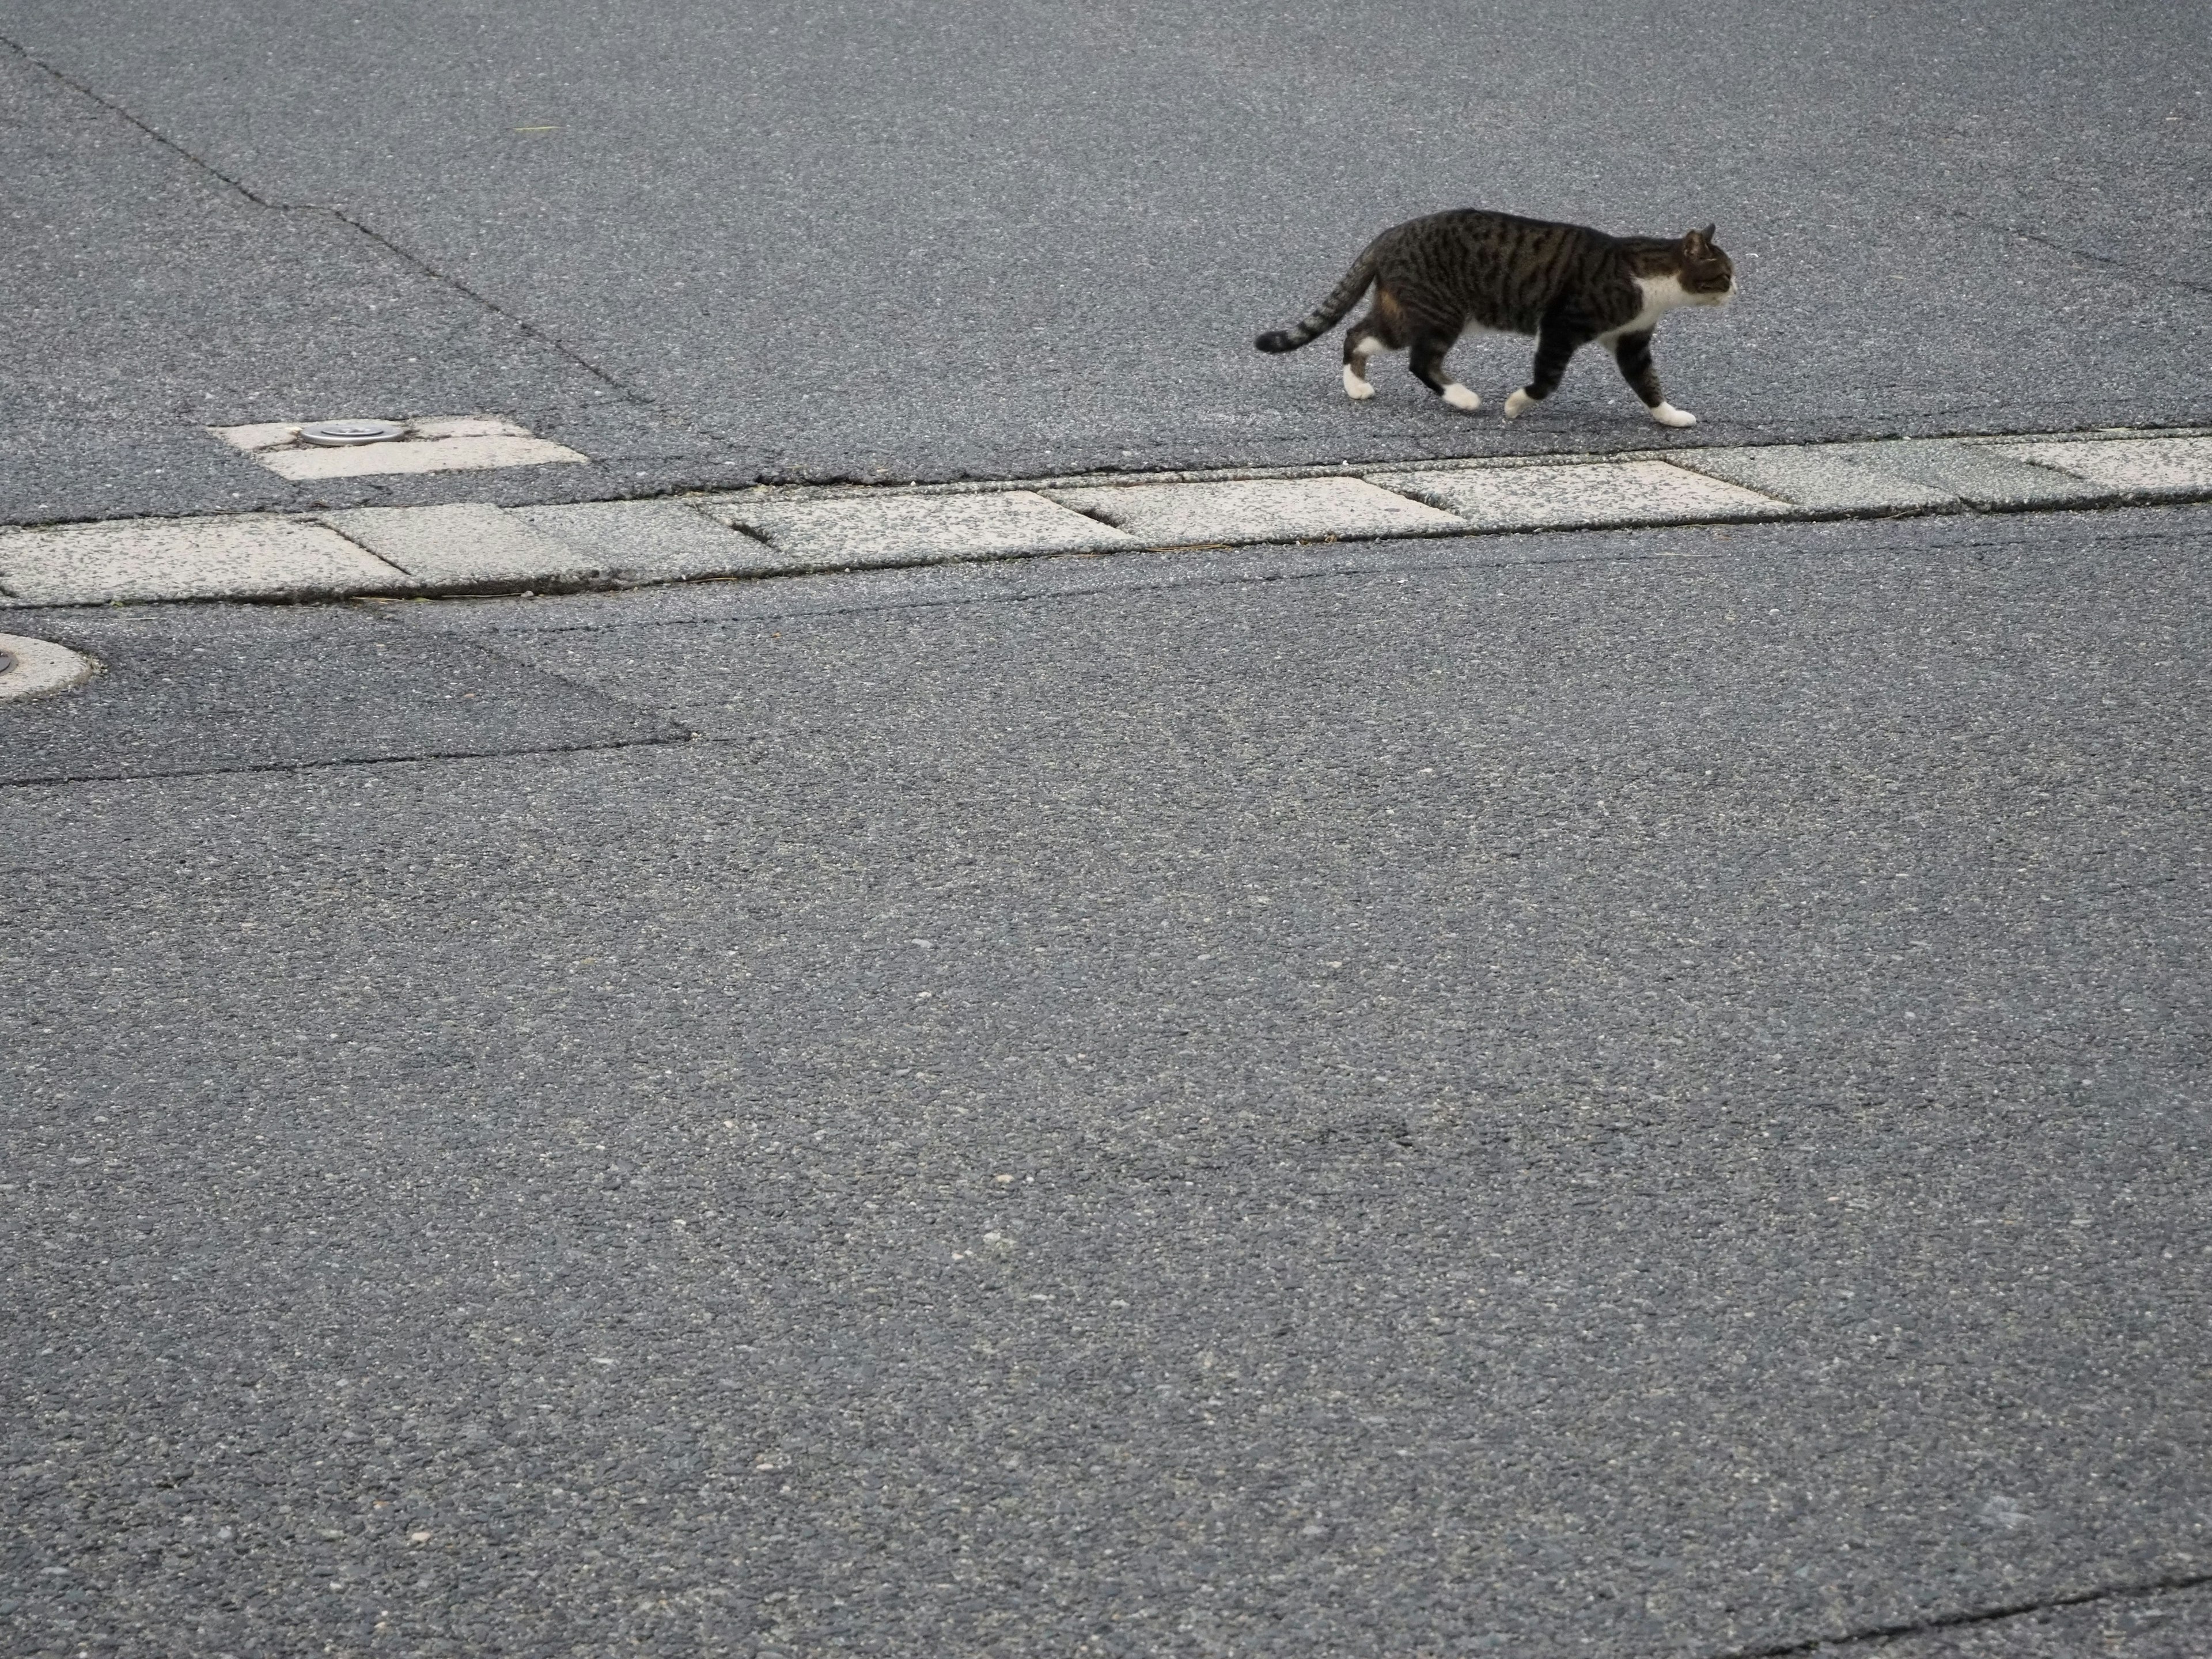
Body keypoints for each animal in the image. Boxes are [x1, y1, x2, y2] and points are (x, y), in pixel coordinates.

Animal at [1256, 211, 1734, 429]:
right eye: (1725, 274)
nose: (1738, 290)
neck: (1651, 281)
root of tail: (1390, 233)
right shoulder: (1561, 326)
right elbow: (1546, 380)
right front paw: (1516, 404)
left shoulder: (1632, 340)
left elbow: (1647, 381)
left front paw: (1669, 416)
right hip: (1442, 311)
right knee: (1419, 360)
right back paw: (1462, 398)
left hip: (1405, 311)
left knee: (1357, 334)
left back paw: (1356, 385)